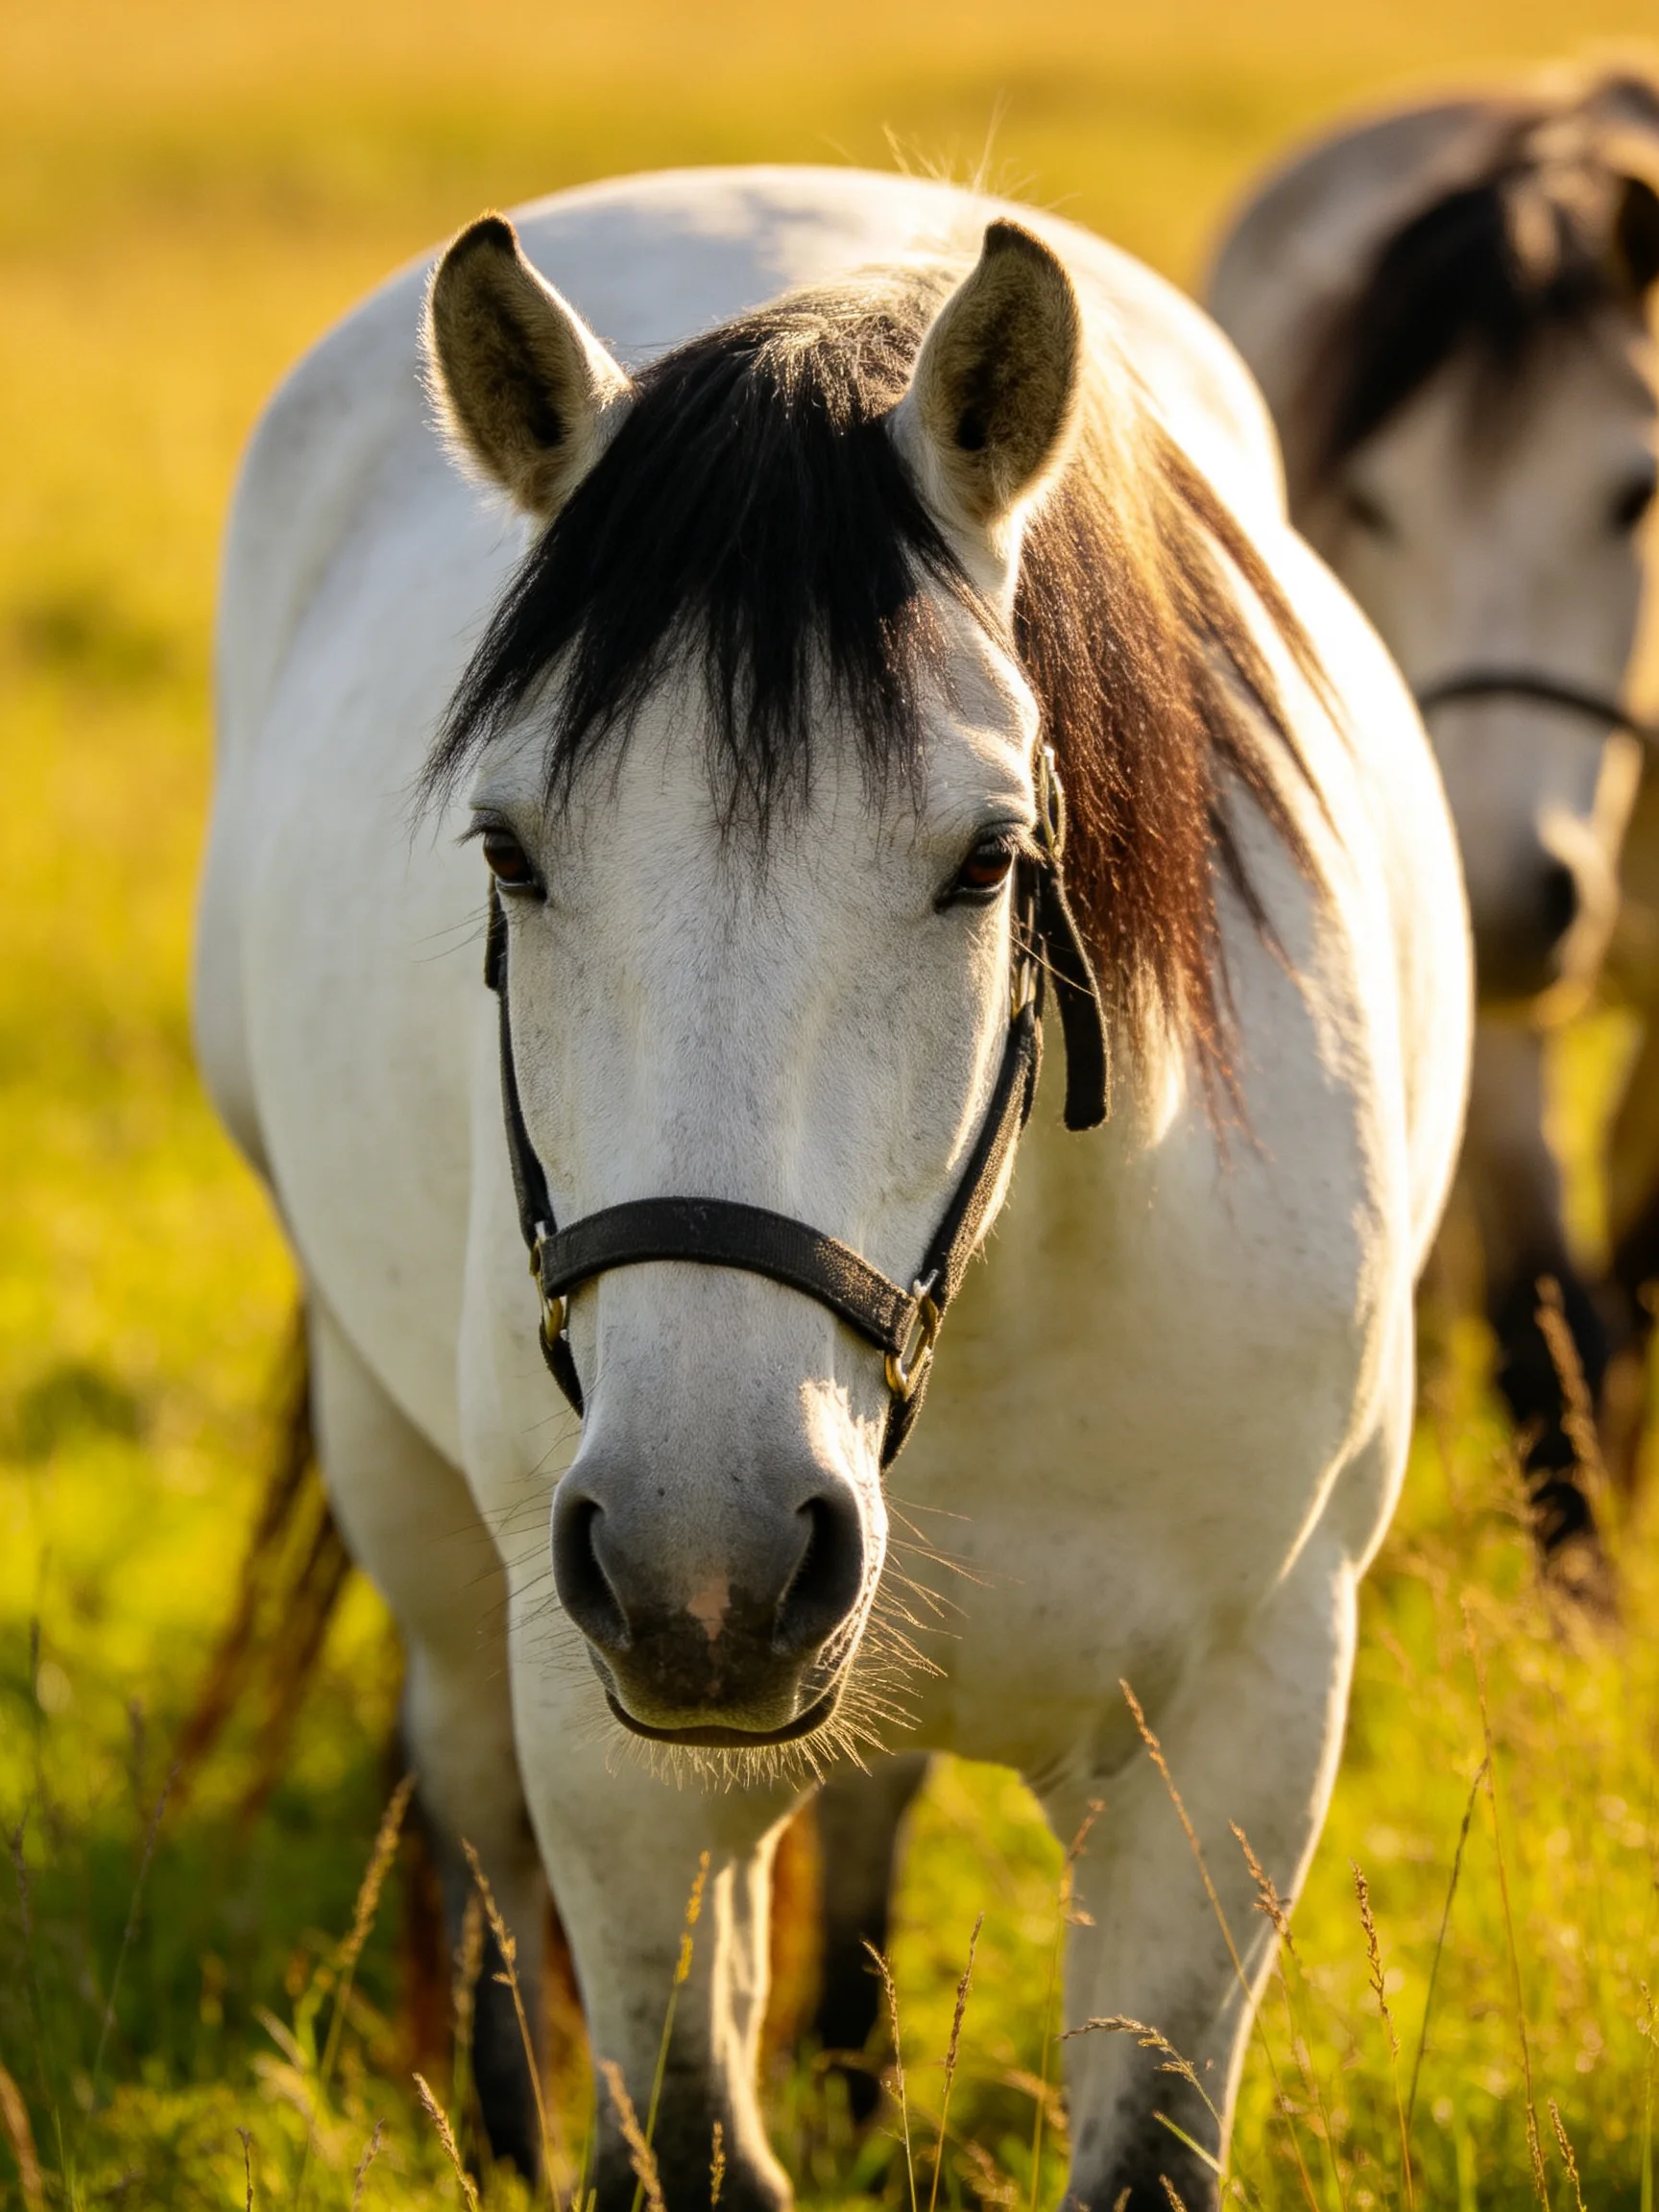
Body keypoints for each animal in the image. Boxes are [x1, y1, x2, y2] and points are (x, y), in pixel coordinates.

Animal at [195, 165, 1469, 2210]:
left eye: (986, 859)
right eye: (510, 851)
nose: (698, 1566)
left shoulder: (1240, 1731)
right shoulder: (625, 1759)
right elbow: (677, 2124)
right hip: (406, 1472)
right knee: (465, 1779)